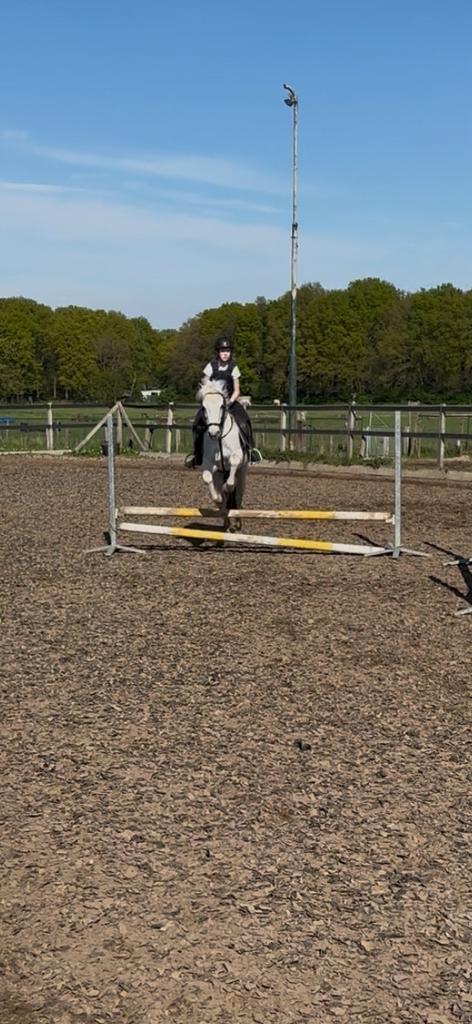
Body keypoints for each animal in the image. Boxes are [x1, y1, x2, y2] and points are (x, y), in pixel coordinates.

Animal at [197, 381, 248, 512]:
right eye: (204, 407)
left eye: (221, 406)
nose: (213, 433)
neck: (220, 438)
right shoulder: (208, 462)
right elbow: (207, 477)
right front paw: (218, 498)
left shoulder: (237, 455)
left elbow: (233, 469)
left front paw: (226, 488)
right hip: (219, 474)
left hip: (242, 472)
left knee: (238, 495)